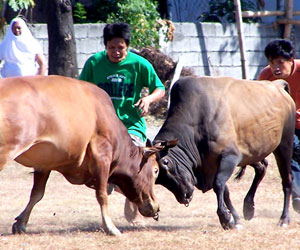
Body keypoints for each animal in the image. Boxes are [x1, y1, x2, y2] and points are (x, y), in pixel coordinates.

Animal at [0, 75, 164, 235]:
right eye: (155, 170)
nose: (156, 207)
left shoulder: (44, 163)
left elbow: (37, 194)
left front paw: (21, 223)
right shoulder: (102, 157)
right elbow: (102, 194)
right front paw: (110, 227)